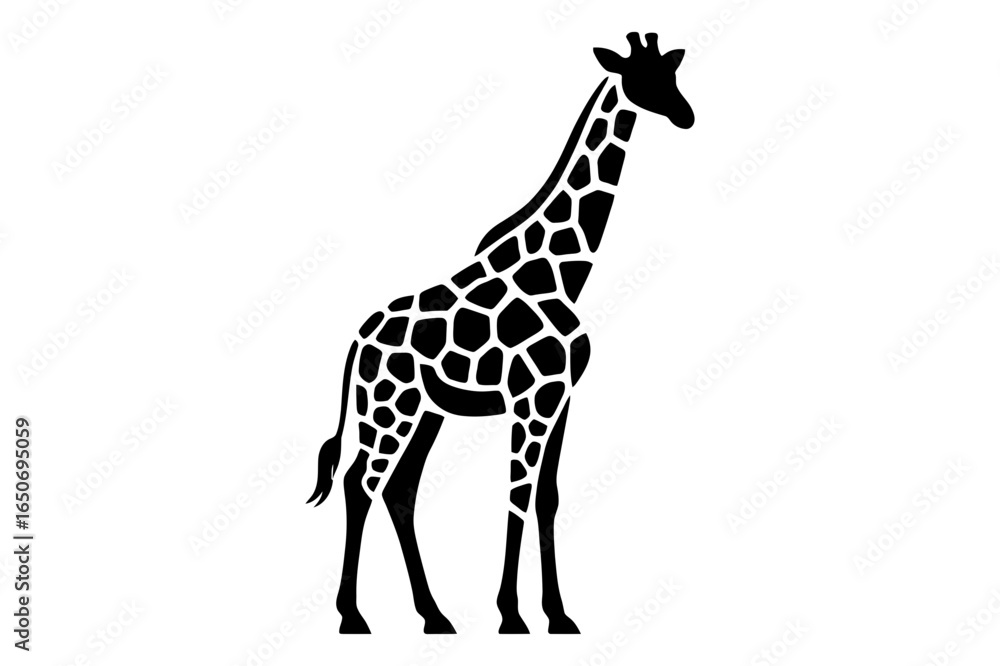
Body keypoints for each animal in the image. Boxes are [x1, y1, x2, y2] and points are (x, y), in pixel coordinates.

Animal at [308, 32, 694, 634]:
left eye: (672, 74)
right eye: (642, 78)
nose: (686, 116)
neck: (558, 271)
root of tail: (358, 341)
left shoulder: (560, 399)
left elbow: (546, 497)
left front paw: (558, 615)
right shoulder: (530, 400)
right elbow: (515, 495)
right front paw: (511, 614)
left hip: (426, 411)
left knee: (400, 489)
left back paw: (434, 615)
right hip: (387, 406)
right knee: (360, 484)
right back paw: (353, 616)